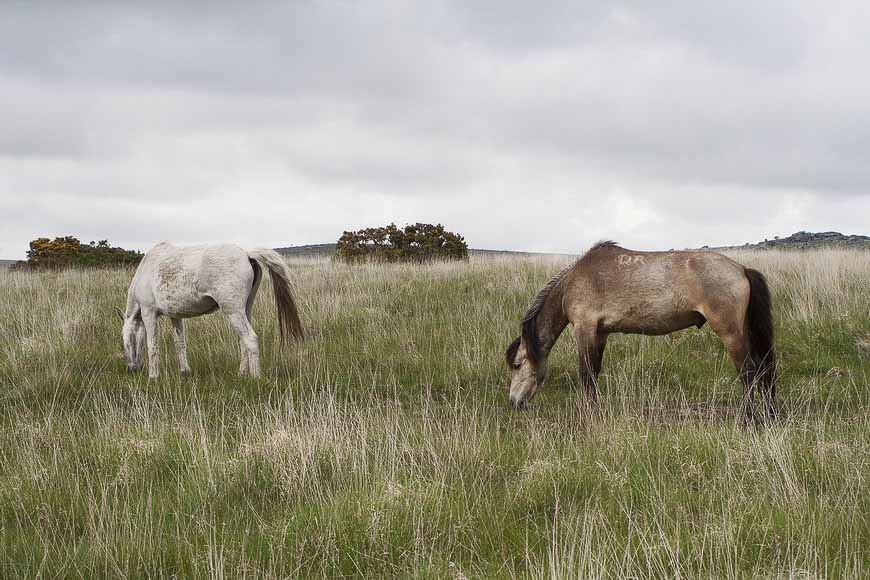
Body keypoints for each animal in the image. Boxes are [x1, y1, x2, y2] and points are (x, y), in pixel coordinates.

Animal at [117, 242, 304, 378]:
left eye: (126, 340)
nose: (131, 369)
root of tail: (247, 254)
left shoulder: (148, 313)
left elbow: (152, 345)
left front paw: (153, 376)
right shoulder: (175, 316)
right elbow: (180, 343)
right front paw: (185, 372)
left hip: (233, 311)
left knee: (250, 339)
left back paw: (255, 377)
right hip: (245, 310)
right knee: (243, 341)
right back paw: (242, 373)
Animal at [508, 240, 780, 422]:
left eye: (518, 364)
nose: (514, 402)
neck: (572, 283)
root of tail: (741, 269)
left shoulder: (584, 329)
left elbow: (586, 374)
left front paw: (587, 413)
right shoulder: (600, 333)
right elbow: (594, 372)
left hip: (730, 333)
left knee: (748, 371)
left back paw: (748, 417)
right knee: (763, 367)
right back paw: (769, 413)